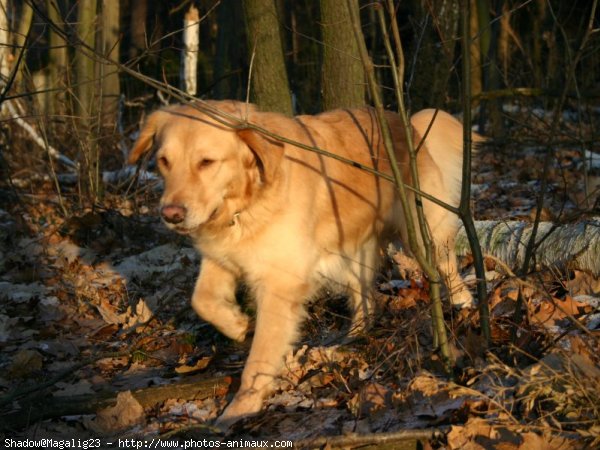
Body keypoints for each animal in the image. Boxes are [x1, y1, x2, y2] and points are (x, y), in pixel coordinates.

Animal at [130, 100, 474, 428]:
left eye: (206, 162)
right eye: (164, 161)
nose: (171, 214)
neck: (249, 200)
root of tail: (403, 122)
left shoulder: (280, 283)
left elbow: (260, 356)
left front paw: (240, 408)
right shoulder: (222, 256)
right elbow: (201, 300)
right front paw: (238, 324)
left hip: (421, 229)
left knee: (446, 267)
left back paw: (463, 304)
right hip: (346, 253)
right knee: (367, 297)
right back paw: (352, 336)